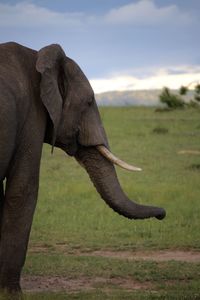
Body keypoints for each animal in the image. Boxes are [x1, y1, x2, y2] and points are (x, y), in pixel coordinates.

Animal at [0, 41, 166, 292]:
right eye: (88, 102)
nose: (163, 214)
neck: (38, 57)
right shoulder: (30, 115)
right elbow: (24, 190)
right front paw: (12, 293)